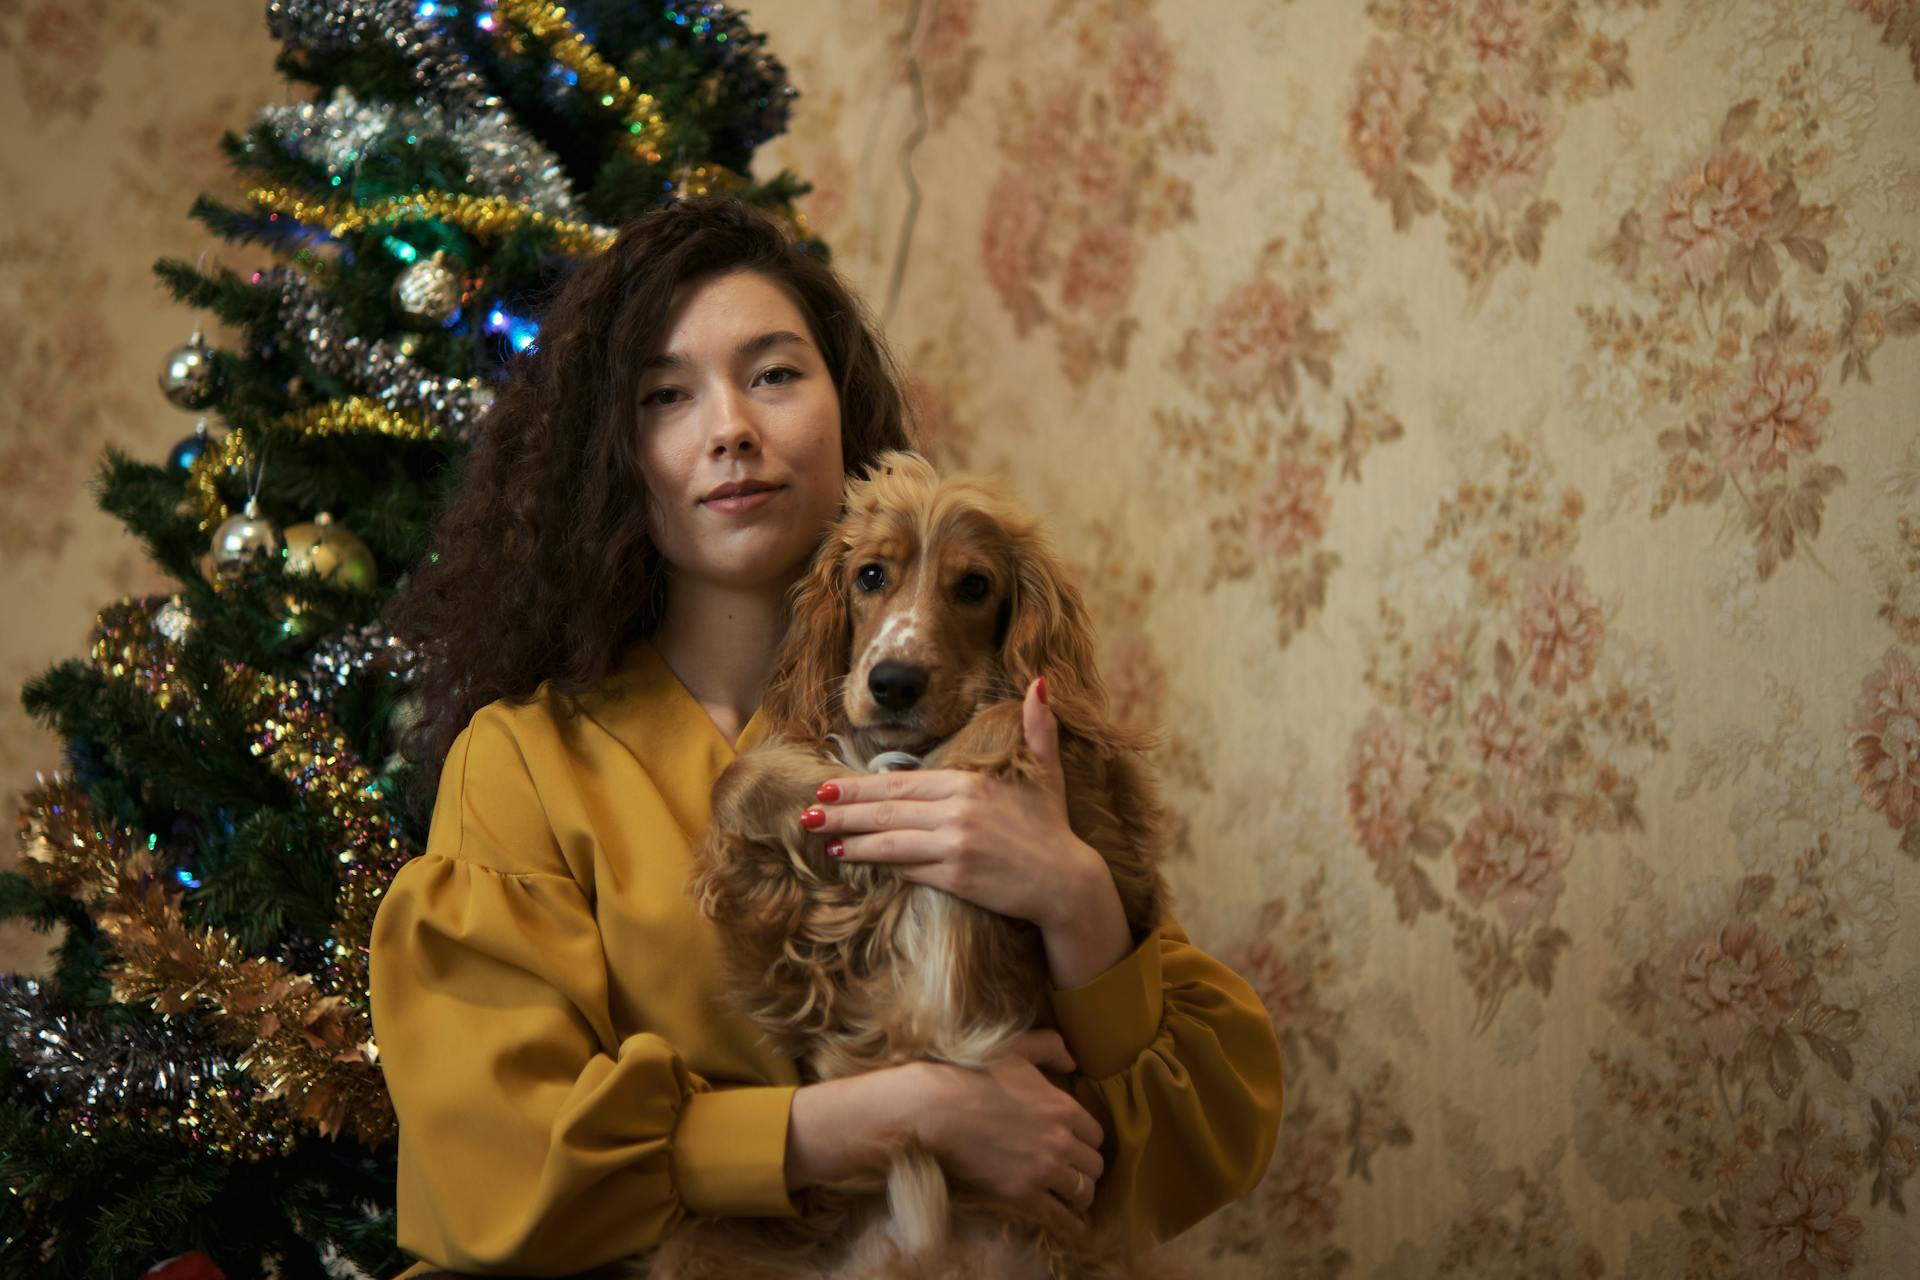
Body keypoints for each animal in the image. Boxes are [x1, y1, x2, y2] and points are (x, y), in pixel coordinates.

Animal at [656, 450, 1182, 1280]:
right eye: (871, 575)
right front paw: (819, 798)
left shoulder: (1118, 850)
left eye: (975, 586)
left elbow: (1014, 715)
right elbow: (736, 779)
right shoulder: (797, 967)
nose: (894, 682)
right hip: (700, 1243)